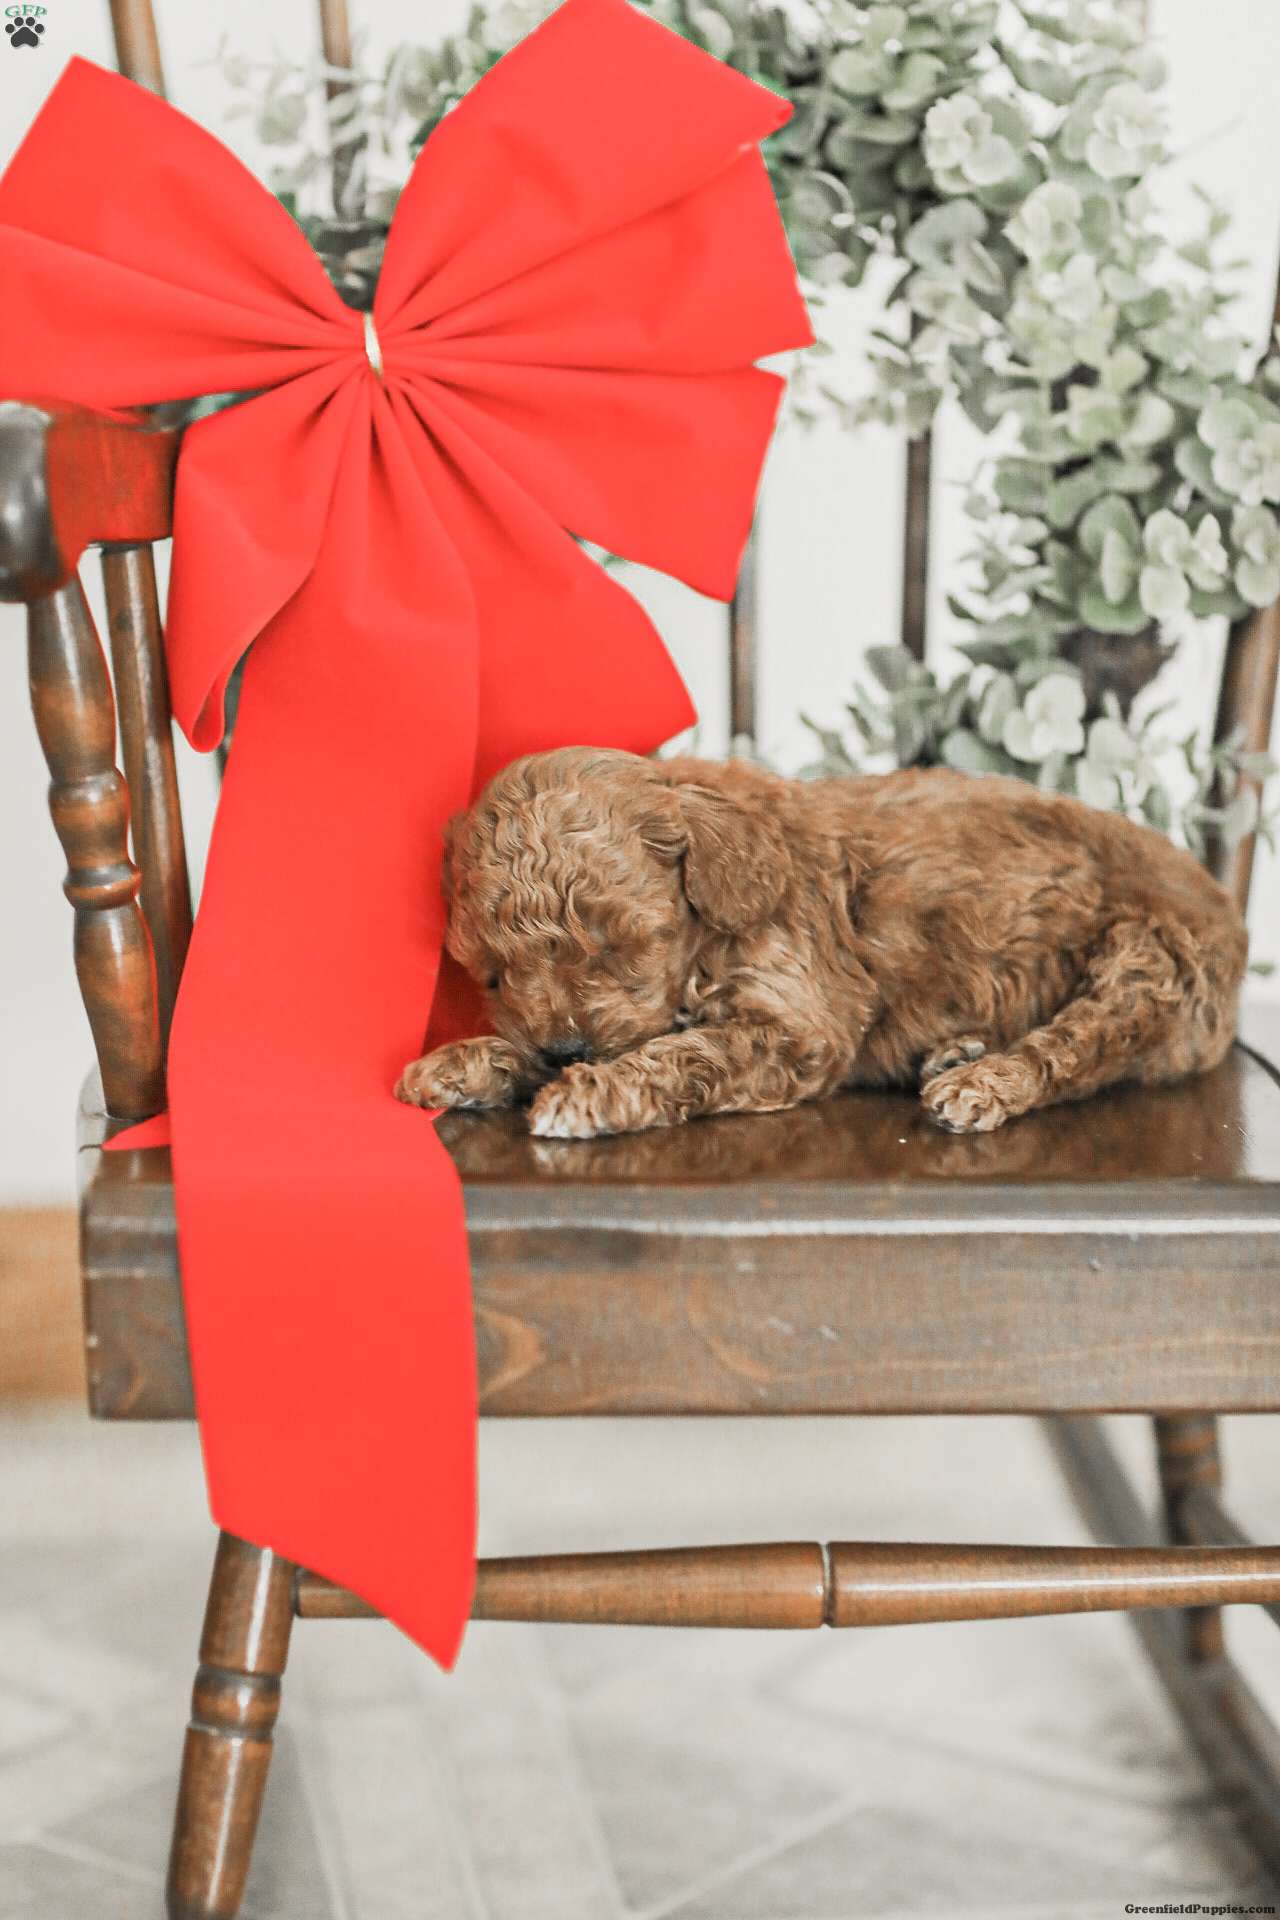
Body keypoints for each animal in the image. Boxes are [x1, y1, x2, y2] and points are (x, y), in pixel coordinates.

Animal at [395, 747, 1249, 1139]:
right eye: (495, 975)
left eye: (618, 947)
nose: (567, 1051)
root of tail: (1227, 905)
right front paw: (463, 1062)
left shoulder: (799, 1025)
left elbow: (687, 1052)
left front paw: (587, 1093)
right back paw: (958, 1050)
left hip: (1147, 958)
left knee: (1082, 1049)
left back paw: (984, 1081)